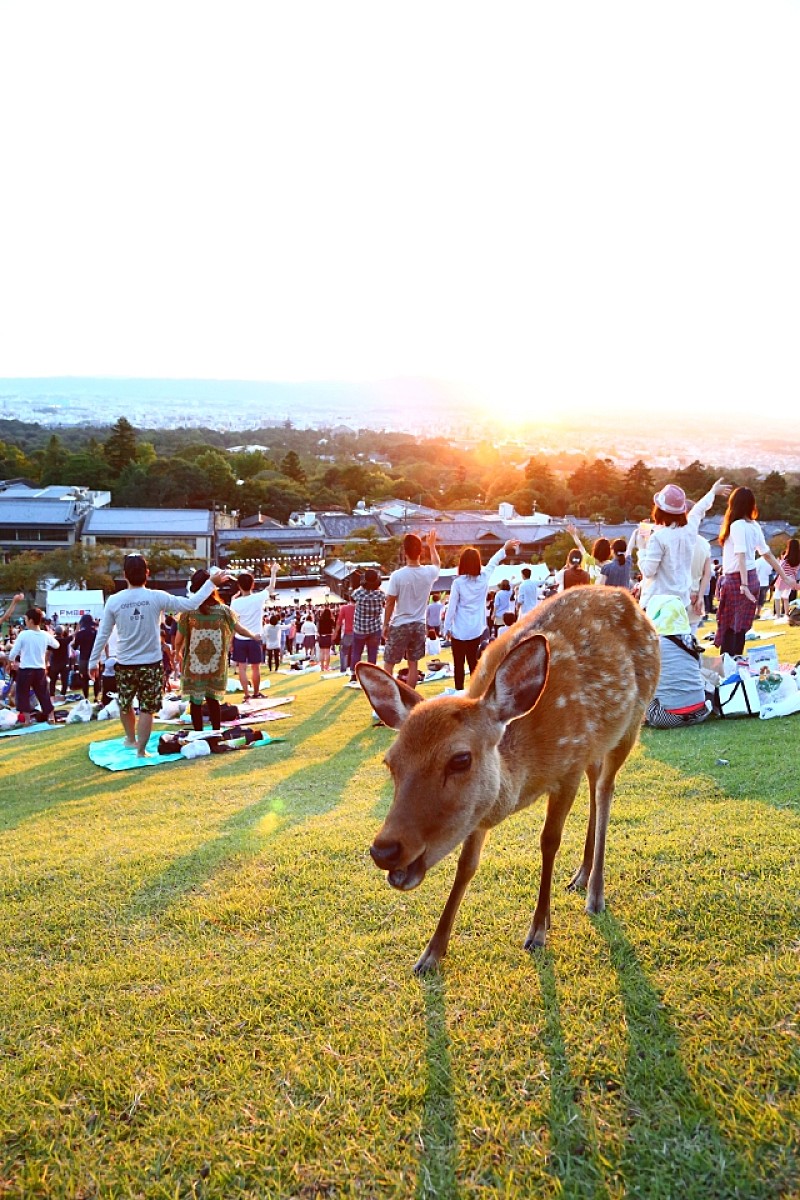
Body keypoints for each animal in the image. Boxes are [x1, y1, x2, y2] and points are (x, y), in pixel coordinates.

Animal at [357, 585, 657, 969]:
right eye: (390, 762)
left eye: (460, 759)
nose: (384, 850)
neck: (526, 773)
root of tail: (628, 597)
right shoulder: (480, 810)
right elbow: (466, 865)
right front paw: (431, 953)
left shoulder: (569, 766)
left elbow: (549, 841)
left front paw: (538, 930)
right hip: (599, 742)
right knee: (597, 785)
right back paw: (580, 876)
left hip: (632, 723)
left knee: (605, 790)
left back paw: (595, 893)